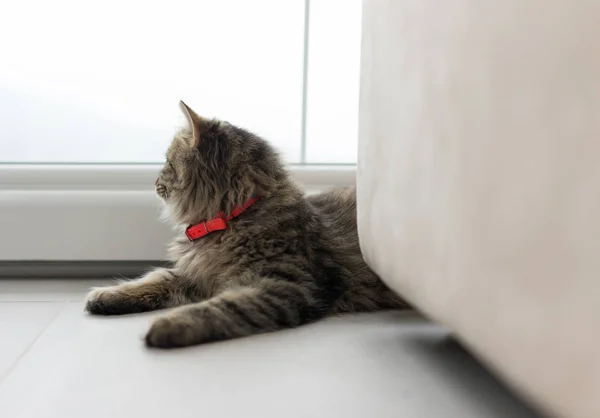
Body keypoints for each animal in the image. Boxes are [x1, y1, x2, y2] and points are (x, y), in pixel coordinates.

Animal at [83, 99, 408, 348]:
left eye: (168, 163)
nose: (154, 183)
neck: (231, 220)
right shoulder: (195, 275)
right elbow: (154, 279)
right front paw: (106, 296)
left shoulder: (285, 286)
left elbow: (220, 308)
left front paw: (166, 326)